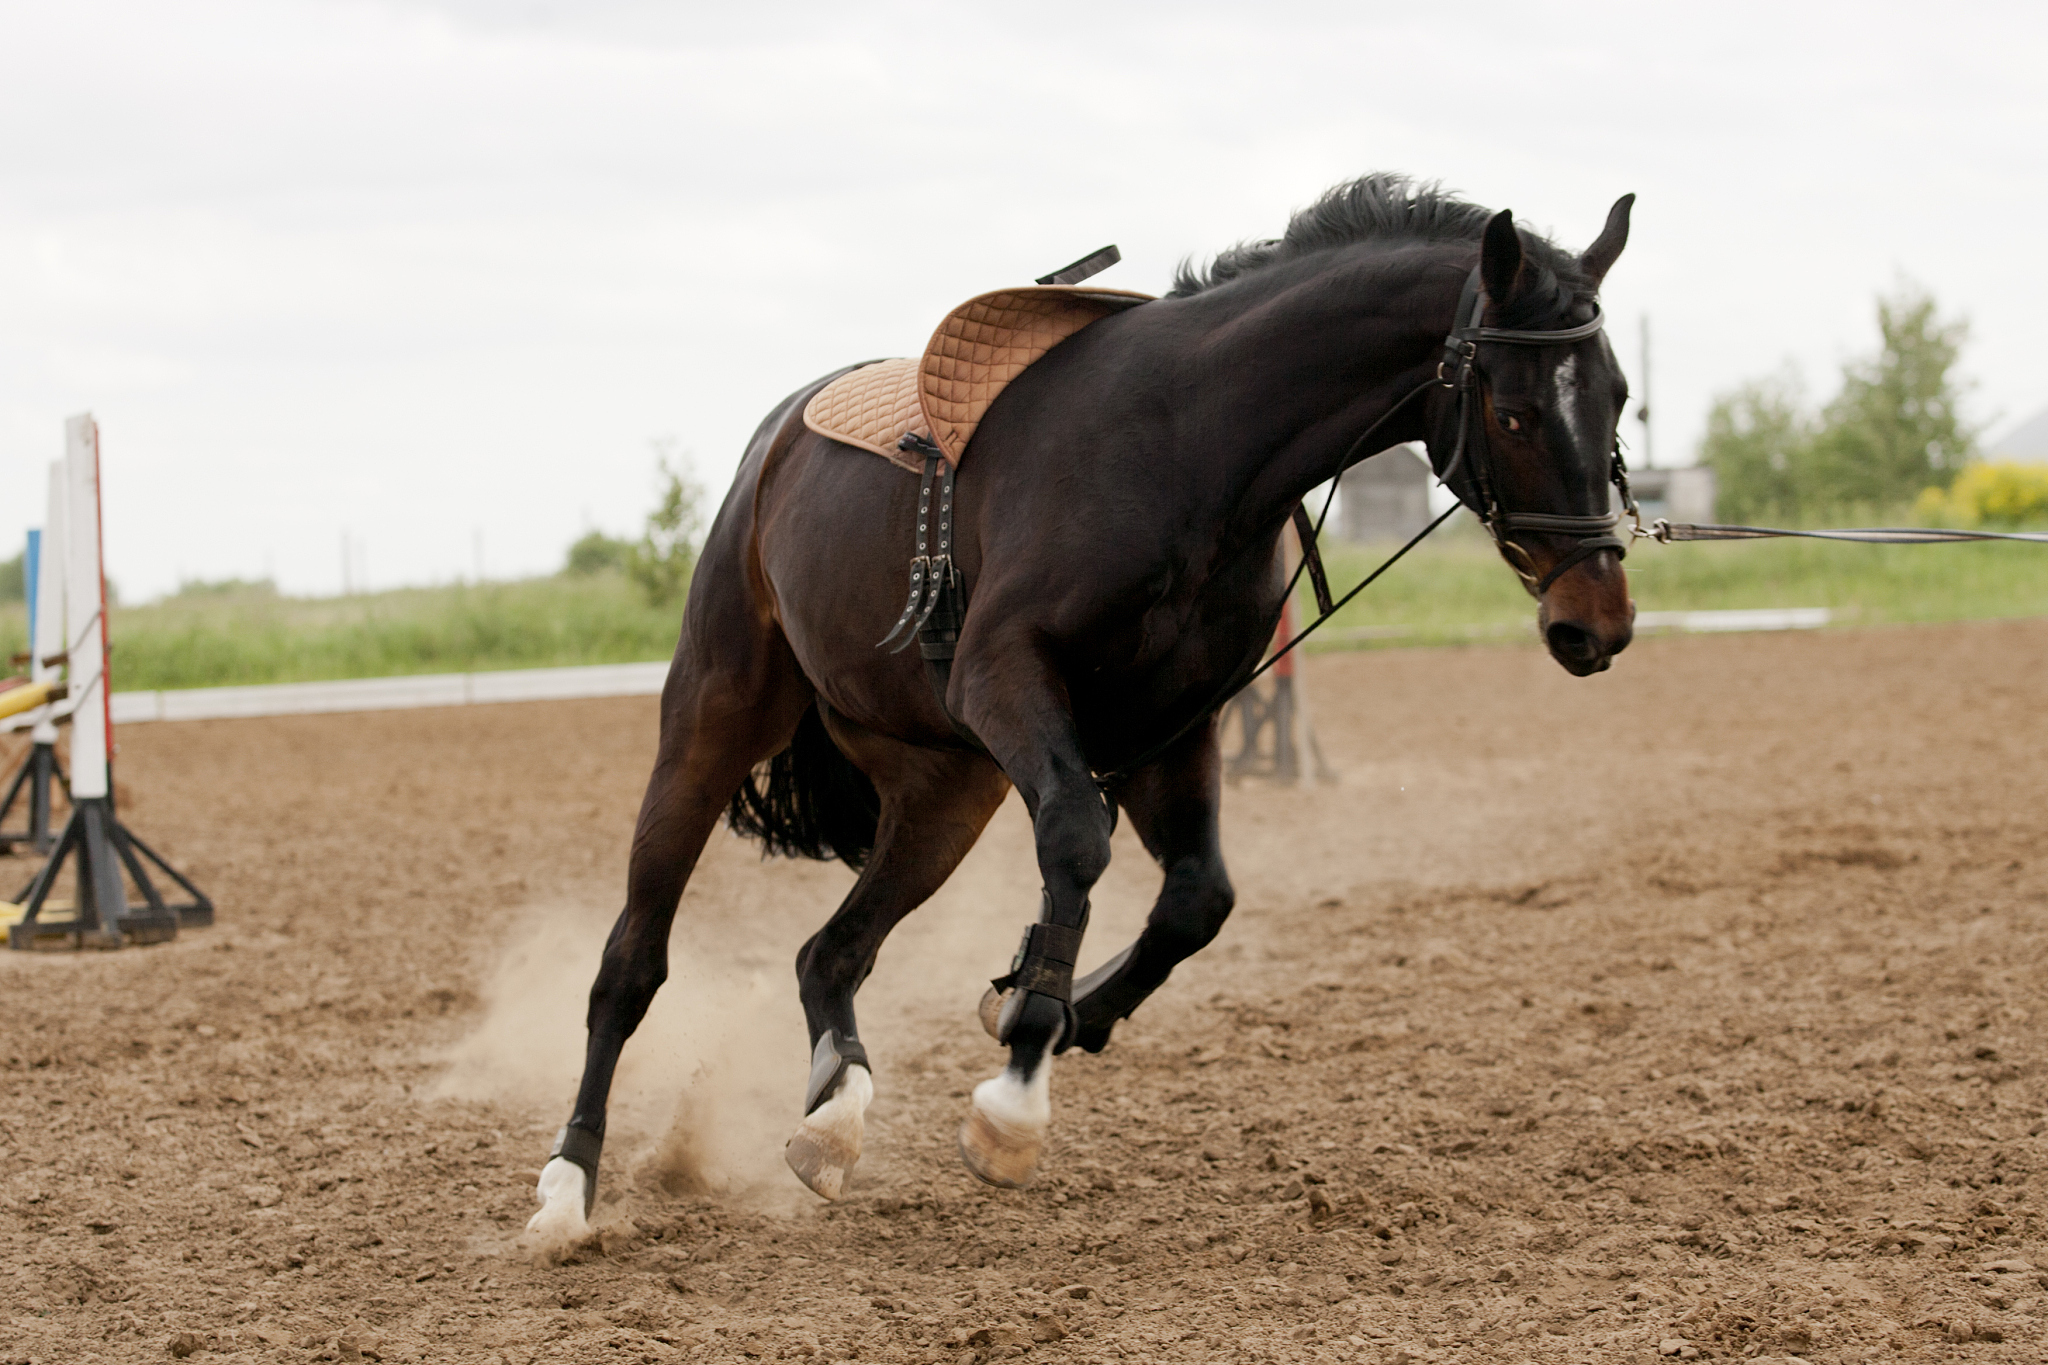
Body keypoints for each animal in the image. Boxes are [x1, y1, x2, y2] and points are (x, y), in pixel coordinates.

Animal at [526, 173, 1638, 1239]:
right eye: (1514, 413)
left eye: (1620, 397)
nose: (1599, 621)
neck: (1190, 448)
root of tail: (771, 449)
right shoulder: (1006, 678)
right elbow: (1074, 843)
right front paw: (1015, 1091)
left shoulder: (1174, 729)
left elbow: (1197, 899)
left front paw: (1059, 1010)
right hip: (712, 721)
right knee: (632, 962)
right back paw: (568, 1190)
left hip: (944, 793)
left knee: (828, 953)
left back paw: (833, 1118)